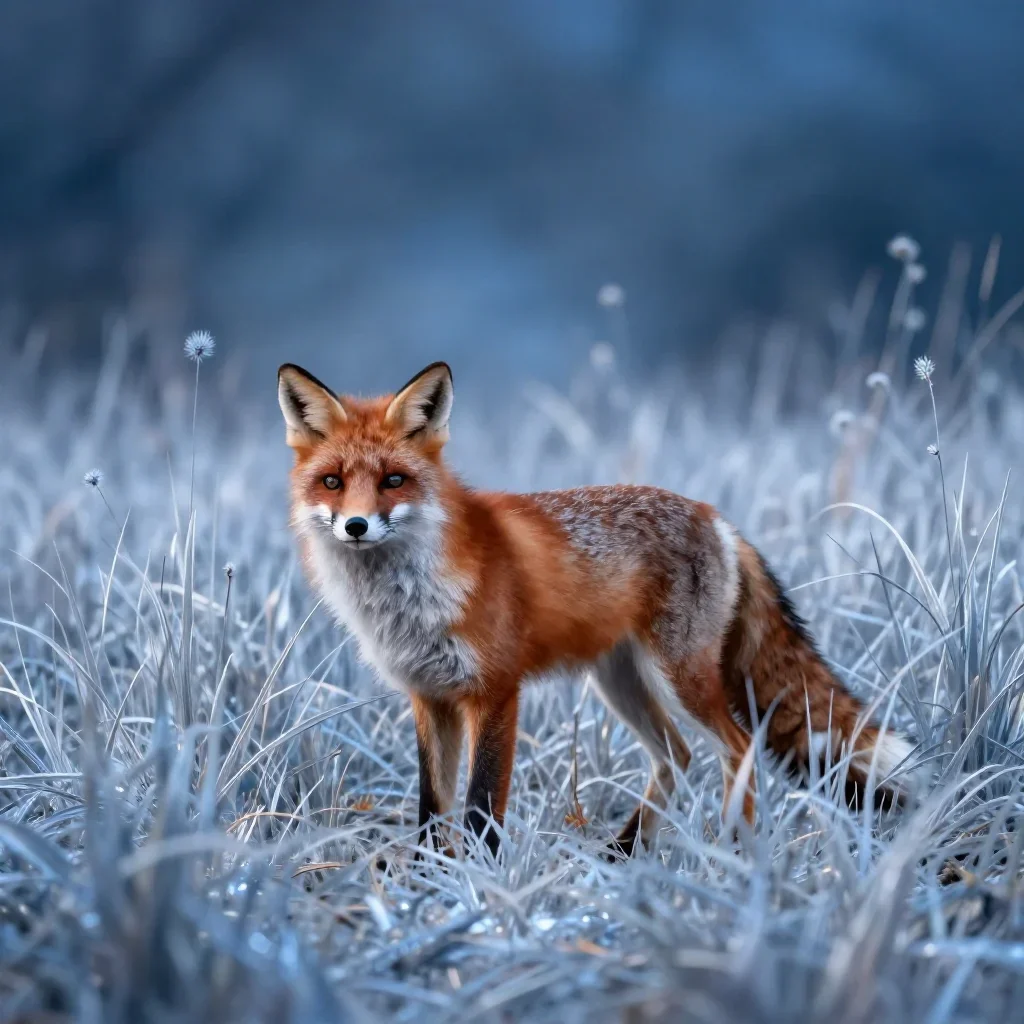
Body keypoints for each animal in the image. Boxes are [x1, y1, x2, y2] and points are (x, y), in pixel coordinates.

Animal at [277, 359, 914, 858]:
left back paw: (737, 856)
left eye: (393, 481)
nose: (356, 526)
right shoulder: (428, 696)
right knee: (678, 755)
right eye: (332, 482)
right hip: (621, 682)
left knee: (738, 747)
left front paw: (482, 889)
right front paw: (427, 883)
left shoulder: (495, 691)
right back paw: (626, 851)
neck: (410, 600)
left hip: (681, 678)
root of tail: (714, 516)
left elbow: (481, 807)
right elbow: (432, 809)